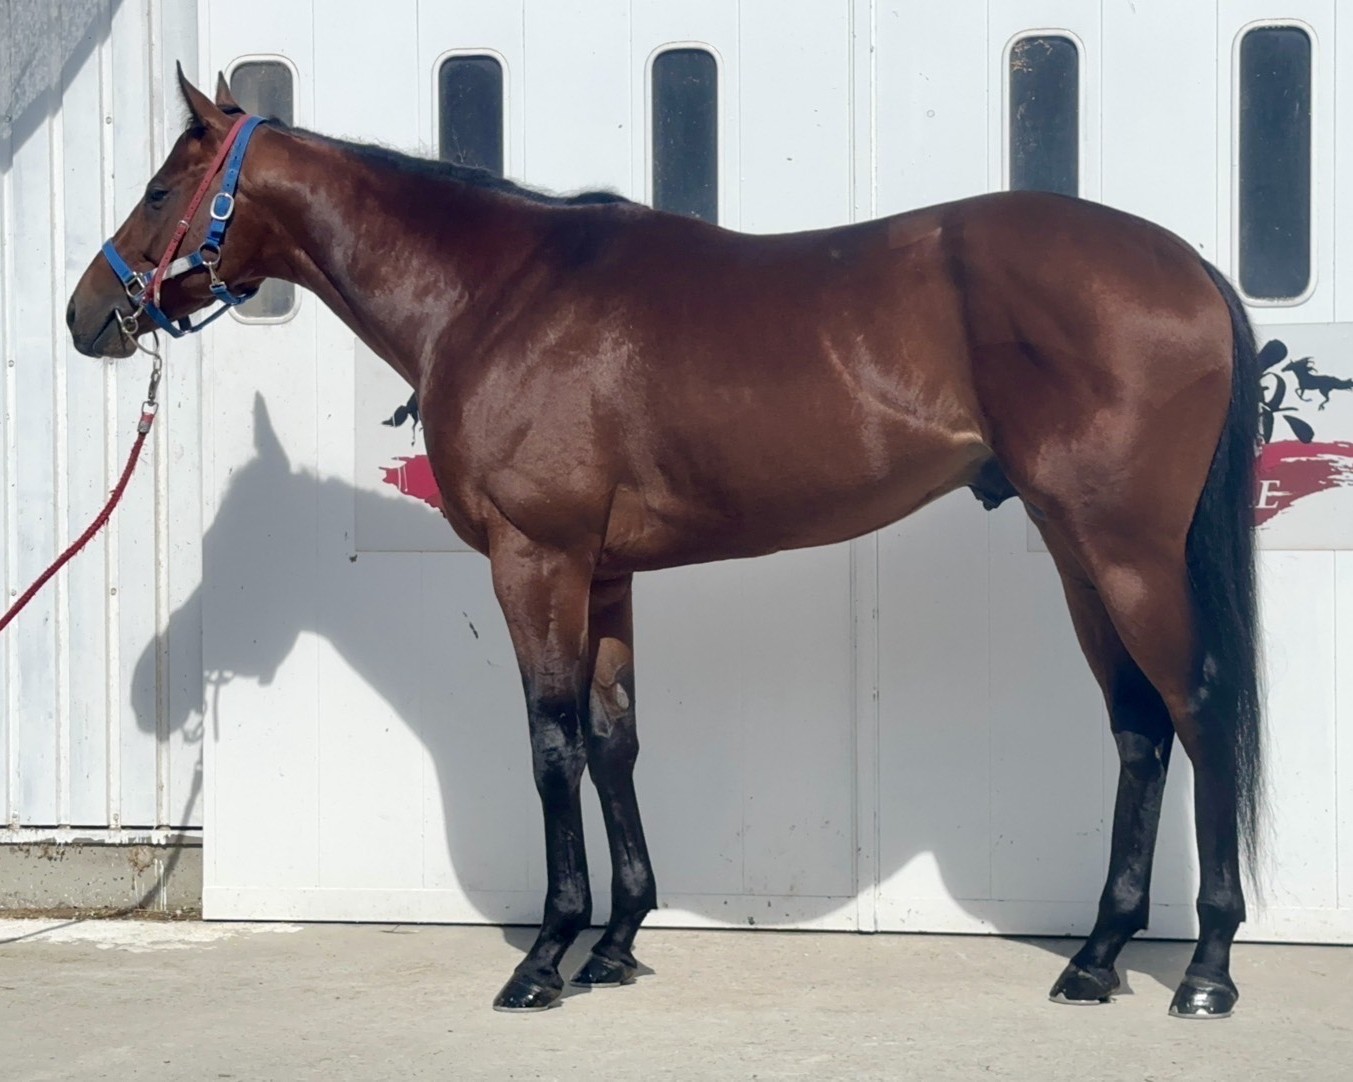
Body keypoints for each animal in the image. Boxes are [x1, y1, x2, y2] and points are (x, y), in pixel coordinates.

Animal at [68, 68, 1263, 1019]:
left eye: (161, 189)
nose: (86, 317)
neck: (496, 294)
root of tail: (1188, 267)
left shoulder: (535, 561)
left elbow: (551, 745)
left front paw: (545, 955)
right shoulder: (603, 574)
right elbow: (614, 740)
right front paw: (617, 942)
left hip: (1124, 550)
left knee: (1198, 707)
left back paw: (1206, 967)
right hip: (1075, 548)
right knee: (1139, 725)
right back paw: (1097, 957)